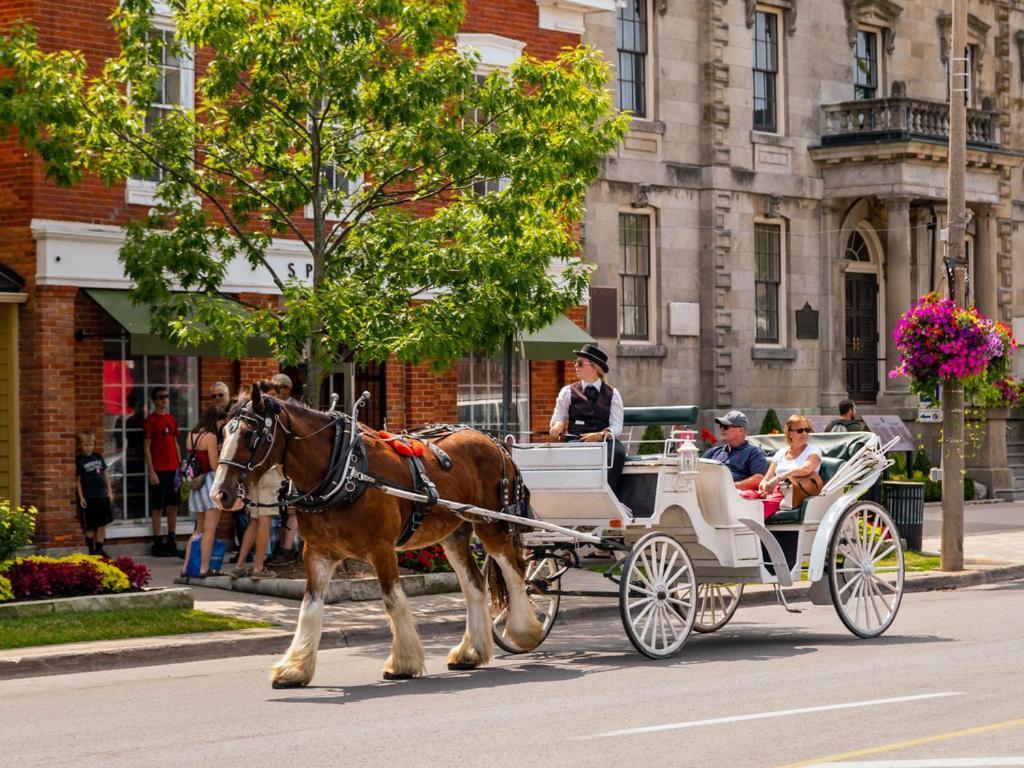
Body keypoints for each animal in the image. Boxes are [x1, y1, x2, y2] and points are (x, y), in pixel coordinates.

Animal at [208, 387, 544, 688]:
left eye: (251, 434)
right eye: (224, 432)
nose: (219, 494)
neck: (343, 470)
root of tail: (494, 441)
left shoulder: (382, 549)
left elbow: (393, 600)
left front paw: (403, 663)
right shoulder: (317, 553)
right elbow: (309, 608)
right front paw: (294, 669)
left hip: (492, 523)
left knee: (514, 571)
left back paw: (525, 631)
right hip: (455, 533)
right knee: (475, 583)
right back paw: (470, 652)